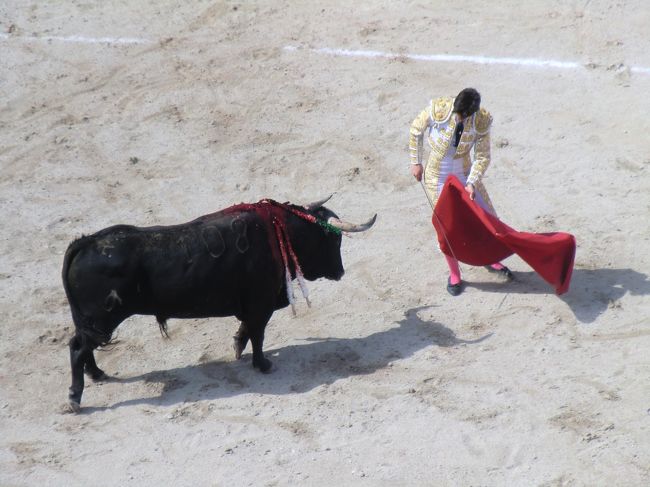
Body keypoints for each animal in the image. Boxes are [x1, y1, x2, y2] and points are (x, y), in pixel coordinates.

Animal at [62, 198, 374, 412]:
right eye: (333, 239)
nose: (340, 272)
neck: (277, 232)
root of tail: (85, 242)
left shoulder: (255, 305)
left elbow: (247, 328)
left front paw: (238, 346)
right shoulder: (261, 302)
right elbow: (258, 333)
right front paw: (262, 364)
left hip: (91, 322)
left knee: (82, 345)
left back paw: (97, 374)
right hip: (102, 318)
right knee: (78, 348)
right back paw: (75, 397)